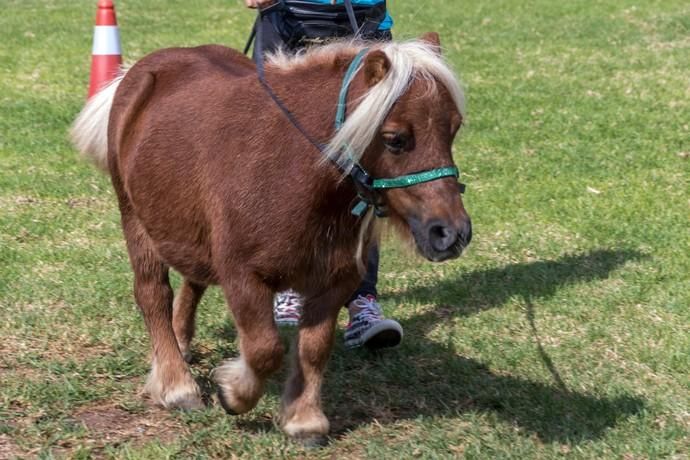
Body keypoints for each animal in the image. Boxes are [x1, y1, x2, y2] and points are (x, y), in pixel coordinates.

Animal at [72, 31, 472, 442]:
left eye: (454, 128)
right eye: (395, 139)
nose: (451, 234)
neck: (290, 170)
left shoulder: (335, 281)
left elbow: (314, 348)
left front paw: (304, 419)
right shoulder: (242, 276)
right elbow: (264, 349)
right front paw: (233, 392)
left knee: (193, 281)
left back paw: (181, 343)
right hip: (134, 217)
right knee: (153, 294)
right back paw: (176, 384)